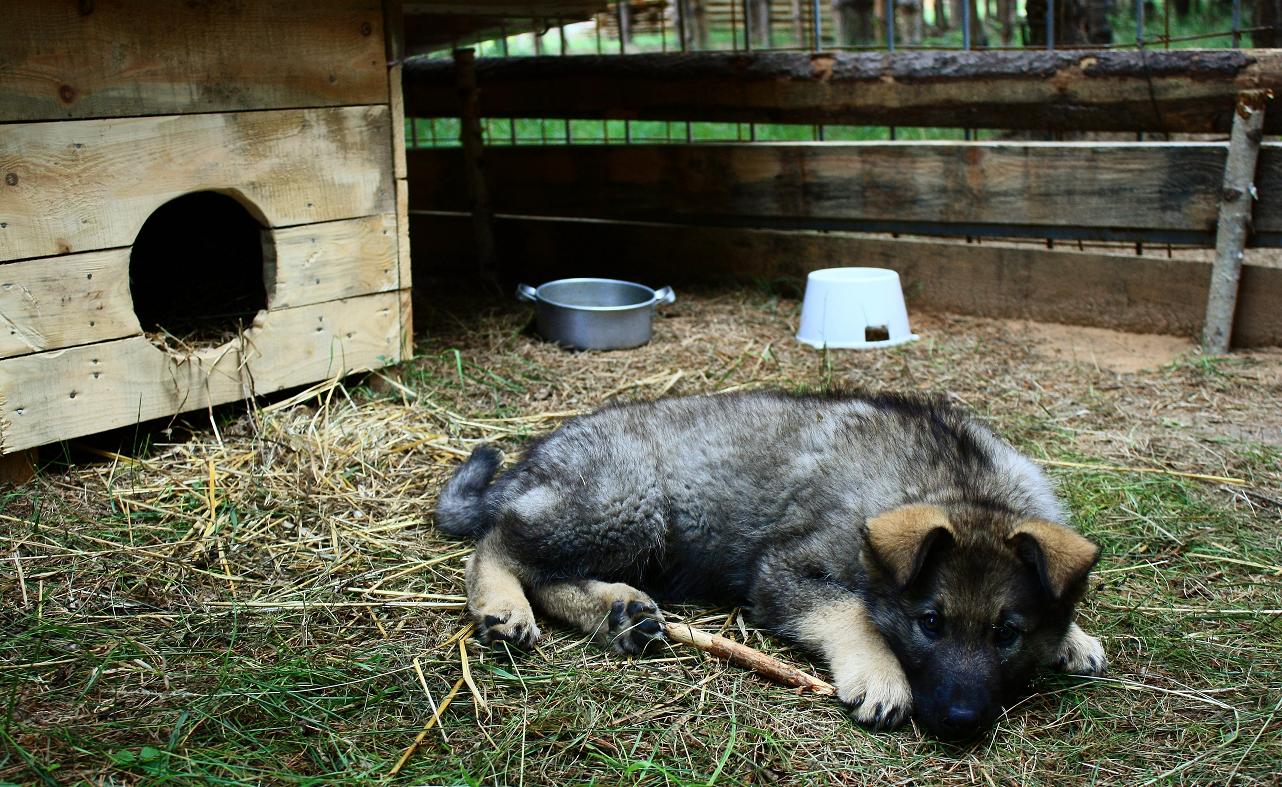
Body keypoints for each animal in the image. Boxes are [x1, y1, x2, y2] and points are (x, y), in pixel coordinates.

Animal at [433, 392, 1102, 743]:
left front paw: (1073, 637)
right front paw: (882, 676)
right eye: (930, 624)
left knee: (547, 573)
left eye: (1006, 634)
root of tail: (534, 461)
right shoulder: (783, 571)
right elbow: (853, 611)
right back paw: (502, 605)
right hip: (626, 501)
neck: (964, 489)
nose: (962, 724)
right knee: (499, 543)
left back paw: (618, 611)